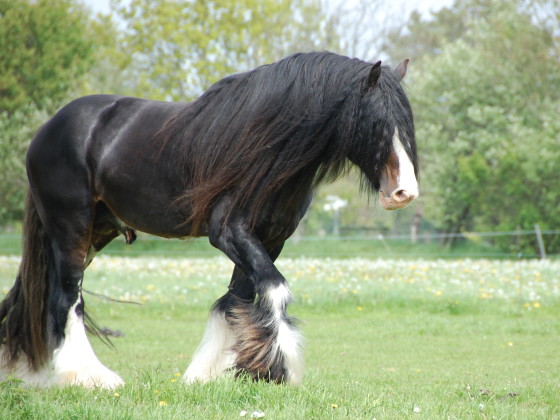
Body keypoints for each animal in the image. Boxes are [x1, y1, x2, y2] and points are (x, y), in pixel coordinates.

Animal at [0, 50, 418, 388]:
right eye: (377, 123)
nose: (405, 192)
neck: (269, 147)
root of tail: (46, 130)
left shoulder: (269, 239)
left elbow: (235, 300)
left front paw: (211, 373)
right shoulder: (230, 231)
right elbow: (274, 289)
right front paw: (279, 368)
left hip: (96, 232)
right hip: (70, 227)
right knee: (66, 299)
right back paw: (89, 377)